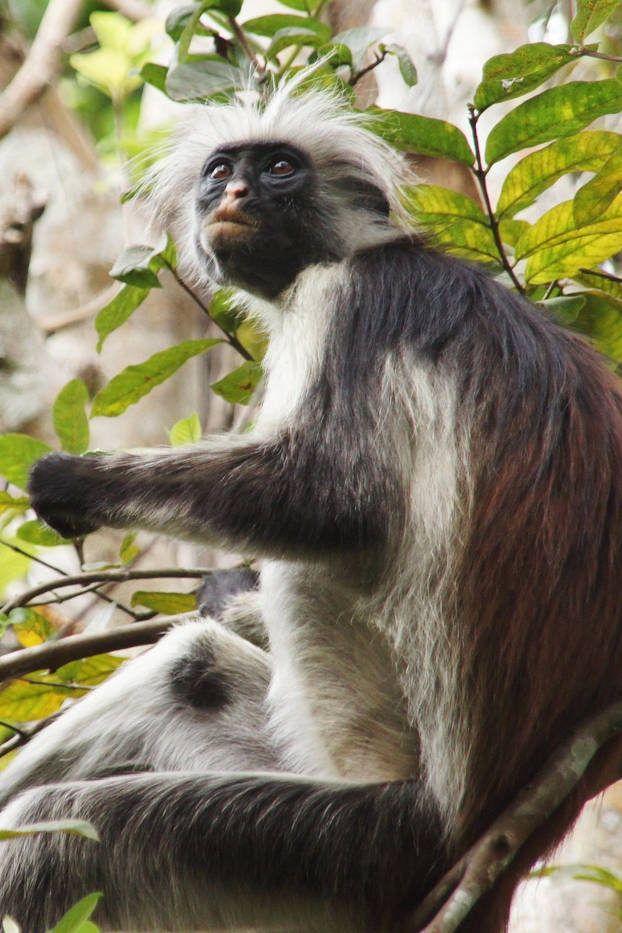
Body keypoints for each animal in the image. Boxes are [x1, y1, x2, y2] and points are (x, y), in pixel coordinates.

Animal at [1, 76, 622, 928]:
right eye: (221, 170)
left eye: (279, 169)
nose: (231, 194)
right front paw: (228, 592)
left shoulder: (351, 297)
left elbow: (330, 499)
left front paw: (73, 483)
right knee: (192, 669)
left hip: (356, 842)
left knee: (54, 833)